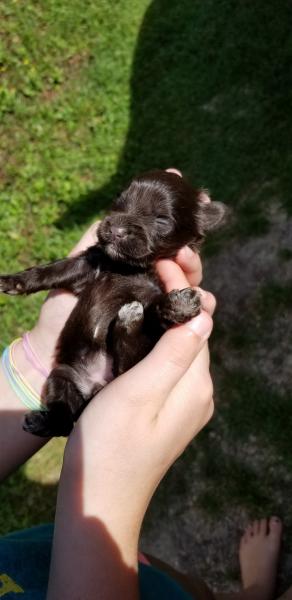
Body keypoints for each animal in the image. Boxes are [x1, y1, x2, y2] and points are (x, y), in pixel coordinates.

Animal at [0, 169, 226, 436]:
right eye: (119, 200)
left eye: (161, 220)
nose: (115, 228)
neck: (127, 267)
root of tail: (95, 385)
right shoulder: (88, 264)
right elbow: (54, 270)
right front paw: (14, 281)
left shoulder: (154, 294)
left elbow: (155, 310)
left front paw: (178, 304)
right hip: (61, 375)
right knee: (64, 421)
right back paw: (41, 422)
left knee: (123, 366)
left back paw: (128, 322)